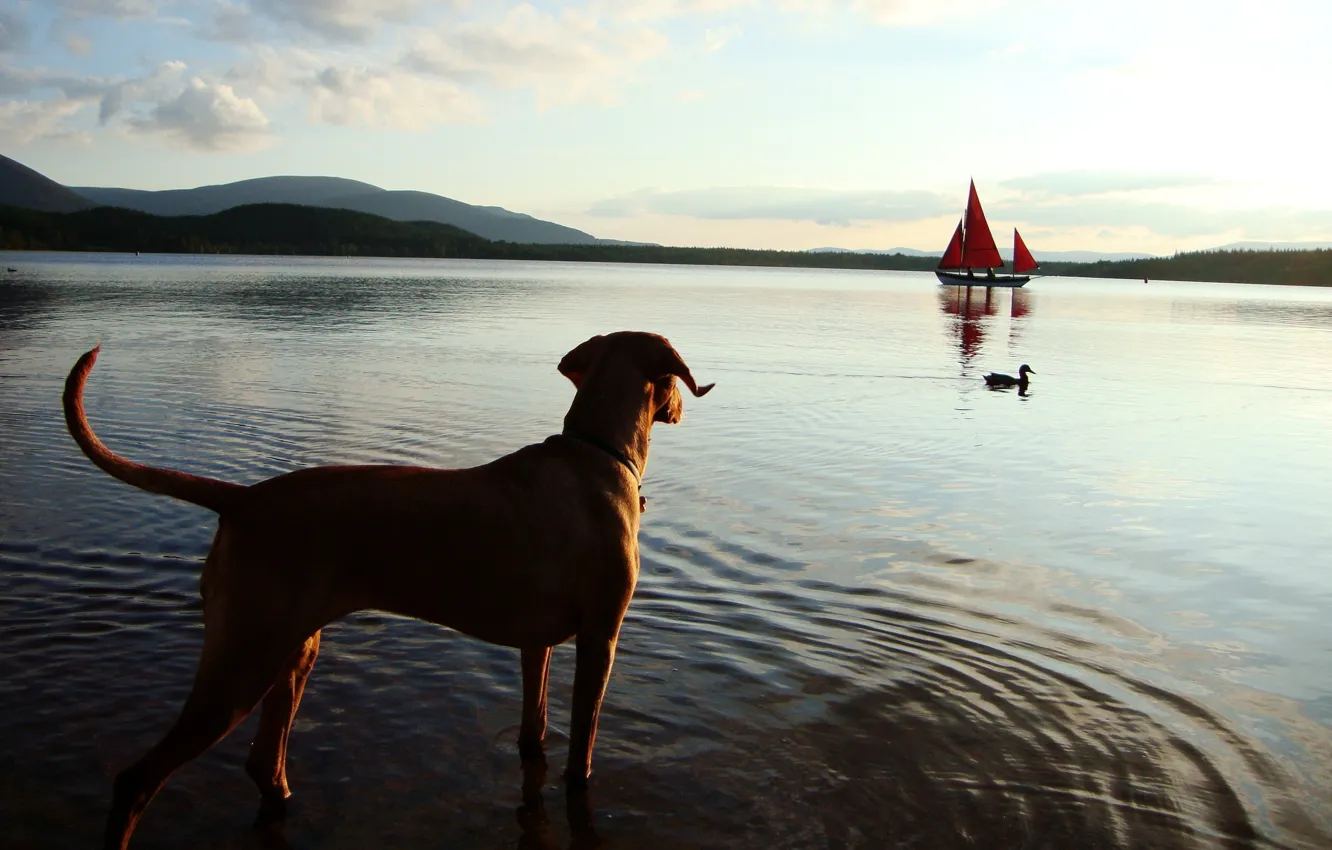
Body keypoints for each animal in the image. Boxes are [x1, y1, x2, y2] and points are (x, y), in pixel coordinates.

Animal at [62, 331, 713, 850]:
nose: (683, 406)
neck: (597, 455)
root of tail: (242, 499)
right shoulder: (601, 636)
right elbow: (581, 751)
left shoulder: (537, 643)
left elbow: (534, 727)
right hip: (242, 664)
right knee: (137, 781)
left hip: (291, 652)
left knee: (262, 762)